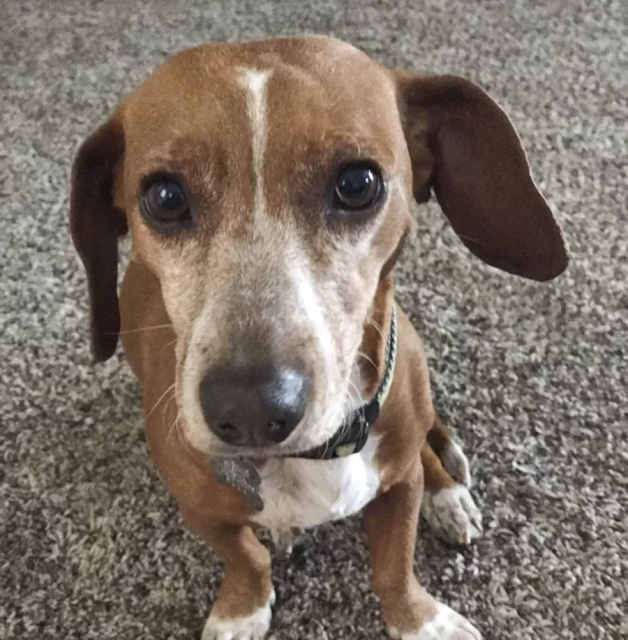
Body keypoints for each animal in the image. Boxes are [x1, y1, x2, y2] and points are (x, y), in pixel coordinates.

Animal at [70, 35, 568, 640]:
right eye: (164, 197)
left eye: (357, 184)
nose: (252, 409)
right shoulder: (201, 511)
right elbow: (248, 558)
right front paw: (241, 610)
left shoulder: (398, 487)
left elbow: (394, 567)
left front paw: (420, 621)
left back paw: (447, 495)